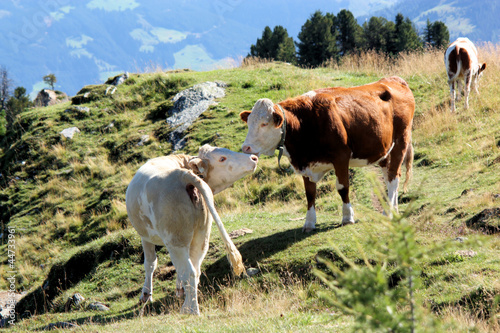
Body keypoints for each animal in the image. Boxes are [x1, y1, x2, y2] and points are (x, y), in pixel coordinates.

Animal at [125, 143, 258, 314]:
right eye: (222, 158)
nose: (253, 157)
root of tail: (183, 175)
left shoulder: (145, 236)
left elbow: (150, 263)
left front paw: (146, 295)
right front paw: (179, 289)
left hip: (175, 240)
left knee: (188, 271)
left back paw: (191, 310)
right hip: (201, 236)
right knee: (194, 269)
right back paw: (188, 304)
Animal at [238, 76, 414, 231]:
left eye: (264, 123)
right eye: (249, 123)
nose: (245, 148)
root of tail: (393, 80)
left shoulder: (341, 156)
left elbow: (343, 187)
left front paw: (347, 217)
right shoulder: (305, 164)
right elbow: (310, 193)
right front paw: (309, 223)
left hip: (401, 140)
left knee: (393, 178)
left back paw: (387, 213)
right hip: (384, 149)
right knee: (390, 176)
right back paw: (393, 210)